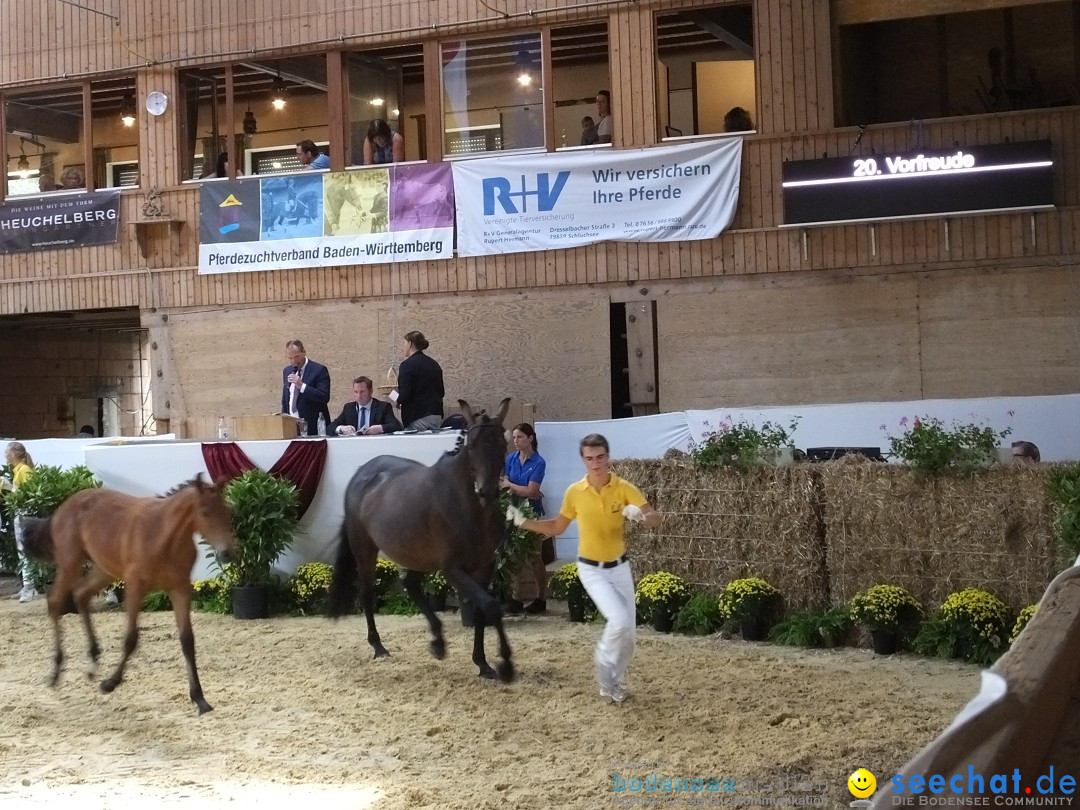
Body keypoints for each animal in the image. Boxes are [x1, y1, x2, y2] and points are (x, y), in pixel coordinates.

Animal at [22, 475, 235, 717]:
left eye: (227, 511)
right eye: (205, 512)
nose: (228, 553)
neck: (162, 536)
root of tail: (63, 507)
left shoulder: (180, 589)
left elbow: (187, 641)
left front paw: (199, 698)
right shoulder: (135, 587)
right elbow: (131, 638)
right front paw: (110, 683)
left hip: (104, 570)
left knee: (81, 595)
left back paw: (92, 663)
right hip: (70, 563)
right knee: (56, 602)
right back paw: (56, 671)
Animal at [326, 397, 516, 682]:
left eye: (502, 445)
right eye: (471, 446)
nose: (487, 493)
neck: (468, 506)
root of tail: (362, 473)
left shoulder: (485, 567)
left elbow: (482, 611)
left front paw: (483, 663)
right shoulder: (452, 569)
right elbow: (492, 607)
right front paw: (505, 664)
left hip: (418, 555)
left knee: (410, 584)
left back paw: (437, 641)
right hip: (365, 549)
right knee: (367, 593)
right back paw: (379, 647)